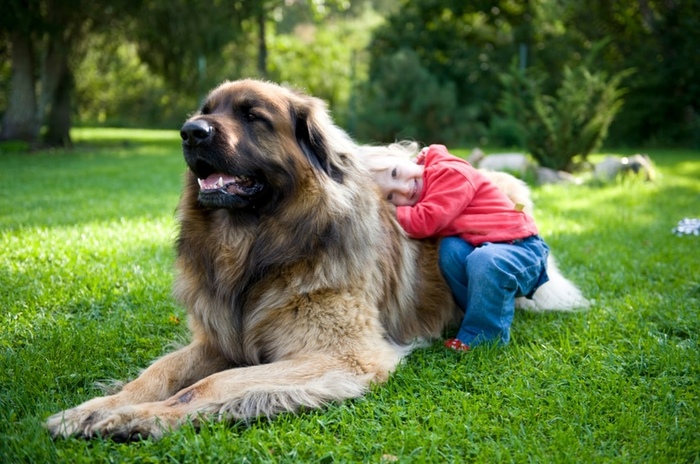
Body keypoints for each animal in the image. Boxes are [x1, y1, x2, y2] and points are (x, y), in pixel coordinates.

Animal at [46, 80, 588, 442]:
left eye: (253, 116)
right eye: (205, 111)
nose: (189, 132)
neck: (257, 249)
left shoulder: (339, 355)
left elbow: (212, 384)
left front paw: (141, 419)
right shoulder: (220, 337)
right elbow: (156, 374)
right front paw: (95, 409)